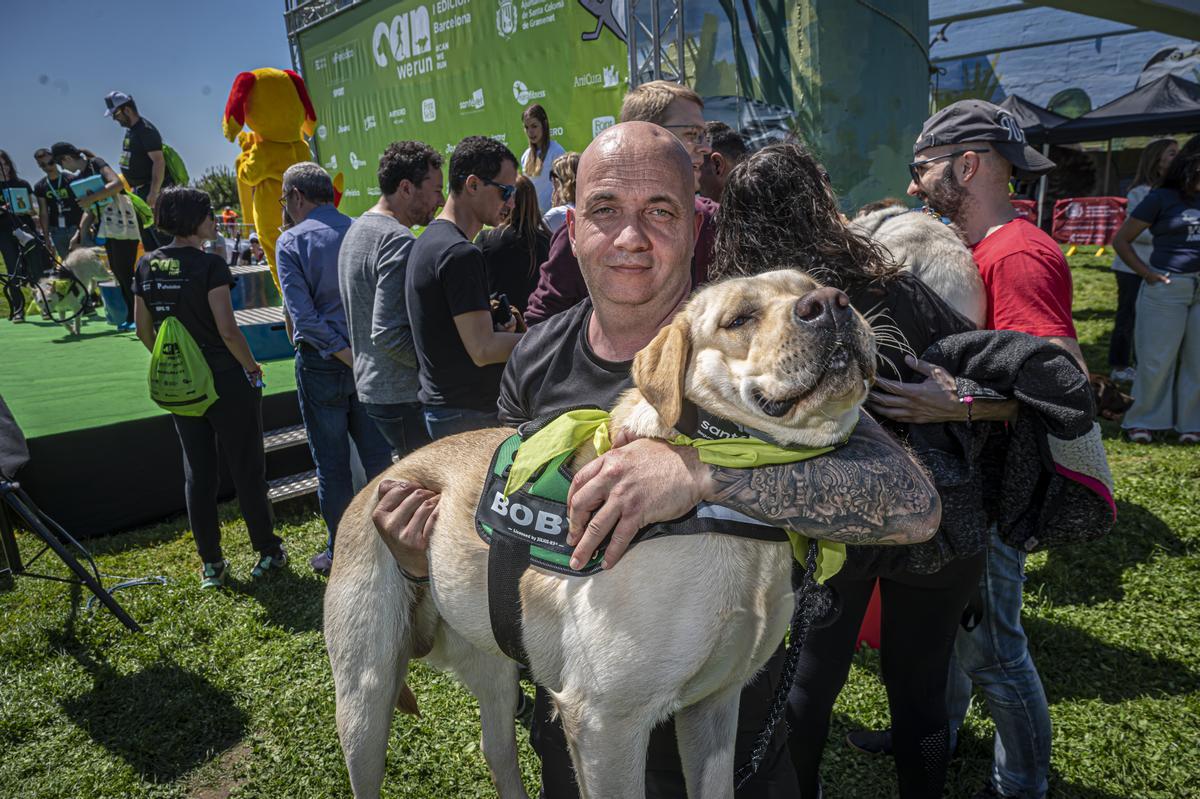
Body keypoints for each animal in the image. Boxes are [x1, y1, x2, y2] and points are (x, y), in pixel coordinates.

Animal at [324, 268, 878, 796]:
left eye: (821, 285)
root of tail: (377, 479)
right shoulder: (605, 723)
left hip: (494, 669)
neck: (733, 521)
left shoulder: (715, 707)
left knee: (497, 753)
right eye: (739, 319)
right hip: (365, 700)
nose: (831, 303)